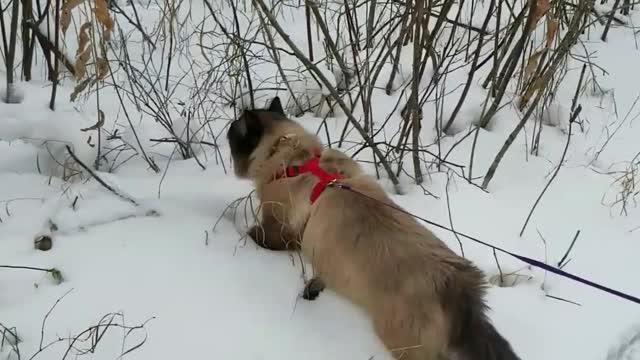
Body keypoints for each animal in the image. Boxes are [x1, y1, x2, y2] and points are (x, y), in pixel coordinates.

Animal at [225, 97, 520, 360]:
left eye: (233, 134)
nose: (226, 129)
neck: (292, 156)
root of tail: (460, 286)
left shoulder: (278, 230)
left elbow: (254, 234)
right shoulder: (323, 255)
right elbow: (319, 276)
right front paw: (313, 291)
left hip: (404, 345)